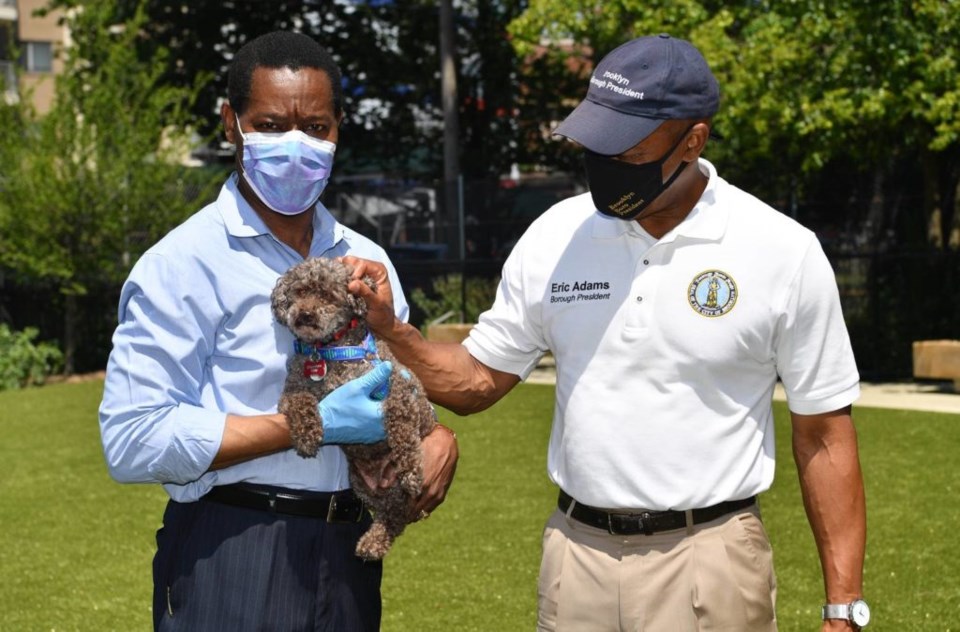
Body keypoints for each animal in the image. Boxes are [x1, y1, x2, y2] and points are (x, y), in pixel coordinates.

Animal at [268, 254, 436, 560]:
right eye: (300, 291)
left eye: (327, 295)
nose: (304, 315)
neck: (328, 350)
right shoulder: (291, 391)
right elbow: (301, 403)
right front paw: (307, 435)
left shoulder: (398, 389)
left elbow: (402, 428)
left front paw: (411, 471)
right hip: (361, 483)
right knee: (391, 513)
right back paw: (373, 540)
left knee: (397, 514)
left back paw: (374, 541)